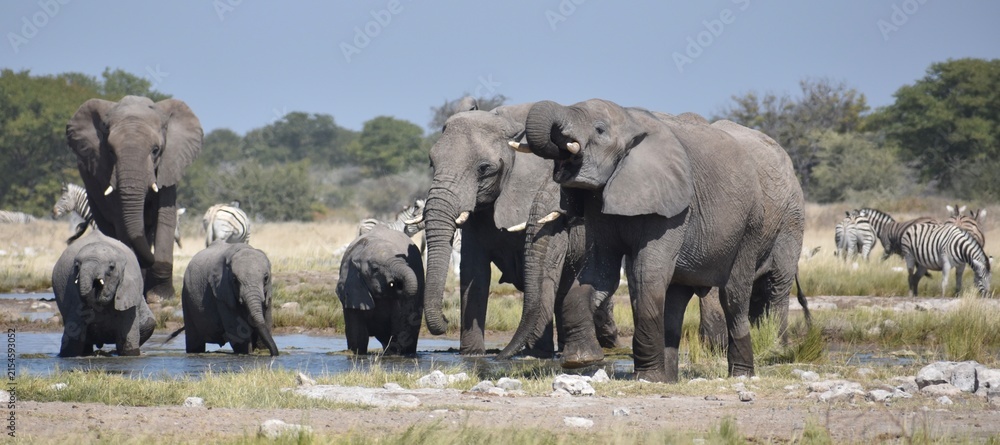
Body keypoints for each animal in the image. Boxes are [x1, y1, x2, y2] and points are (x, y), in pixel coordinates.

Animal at [67, 95, 203, 302]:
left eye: (156, 150)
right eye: (110, 152)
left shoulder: (169, 164)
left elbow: (165, 217)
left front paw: (160, 296)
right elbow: (123, 223)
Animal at [336, 225, 424, 355]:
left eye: (406, 262)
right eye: (375, 268)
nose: (396, 284)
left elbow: (400, 324)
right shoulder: (350, 289)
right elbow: (358, 334)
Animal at [418, 103, 617, 356]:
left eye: (484, 169)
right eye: (432, 163)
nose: (444, 320)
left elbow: (545, 271)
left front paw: (535, 356)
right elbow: (474, 273)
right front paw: (472, 355)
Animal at [517, 99, 806, 382]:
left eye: (599, 130)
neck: (632, 121)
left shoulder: (673, 209)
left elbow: (647, 273)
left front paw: (646, 377)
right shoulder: (600, 206)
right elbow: (599, 273)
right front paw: (580, 361)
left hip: (763, 223)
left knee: (740, 293)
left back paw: (747, 370)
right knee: (676, 301)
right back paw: (669, 379)